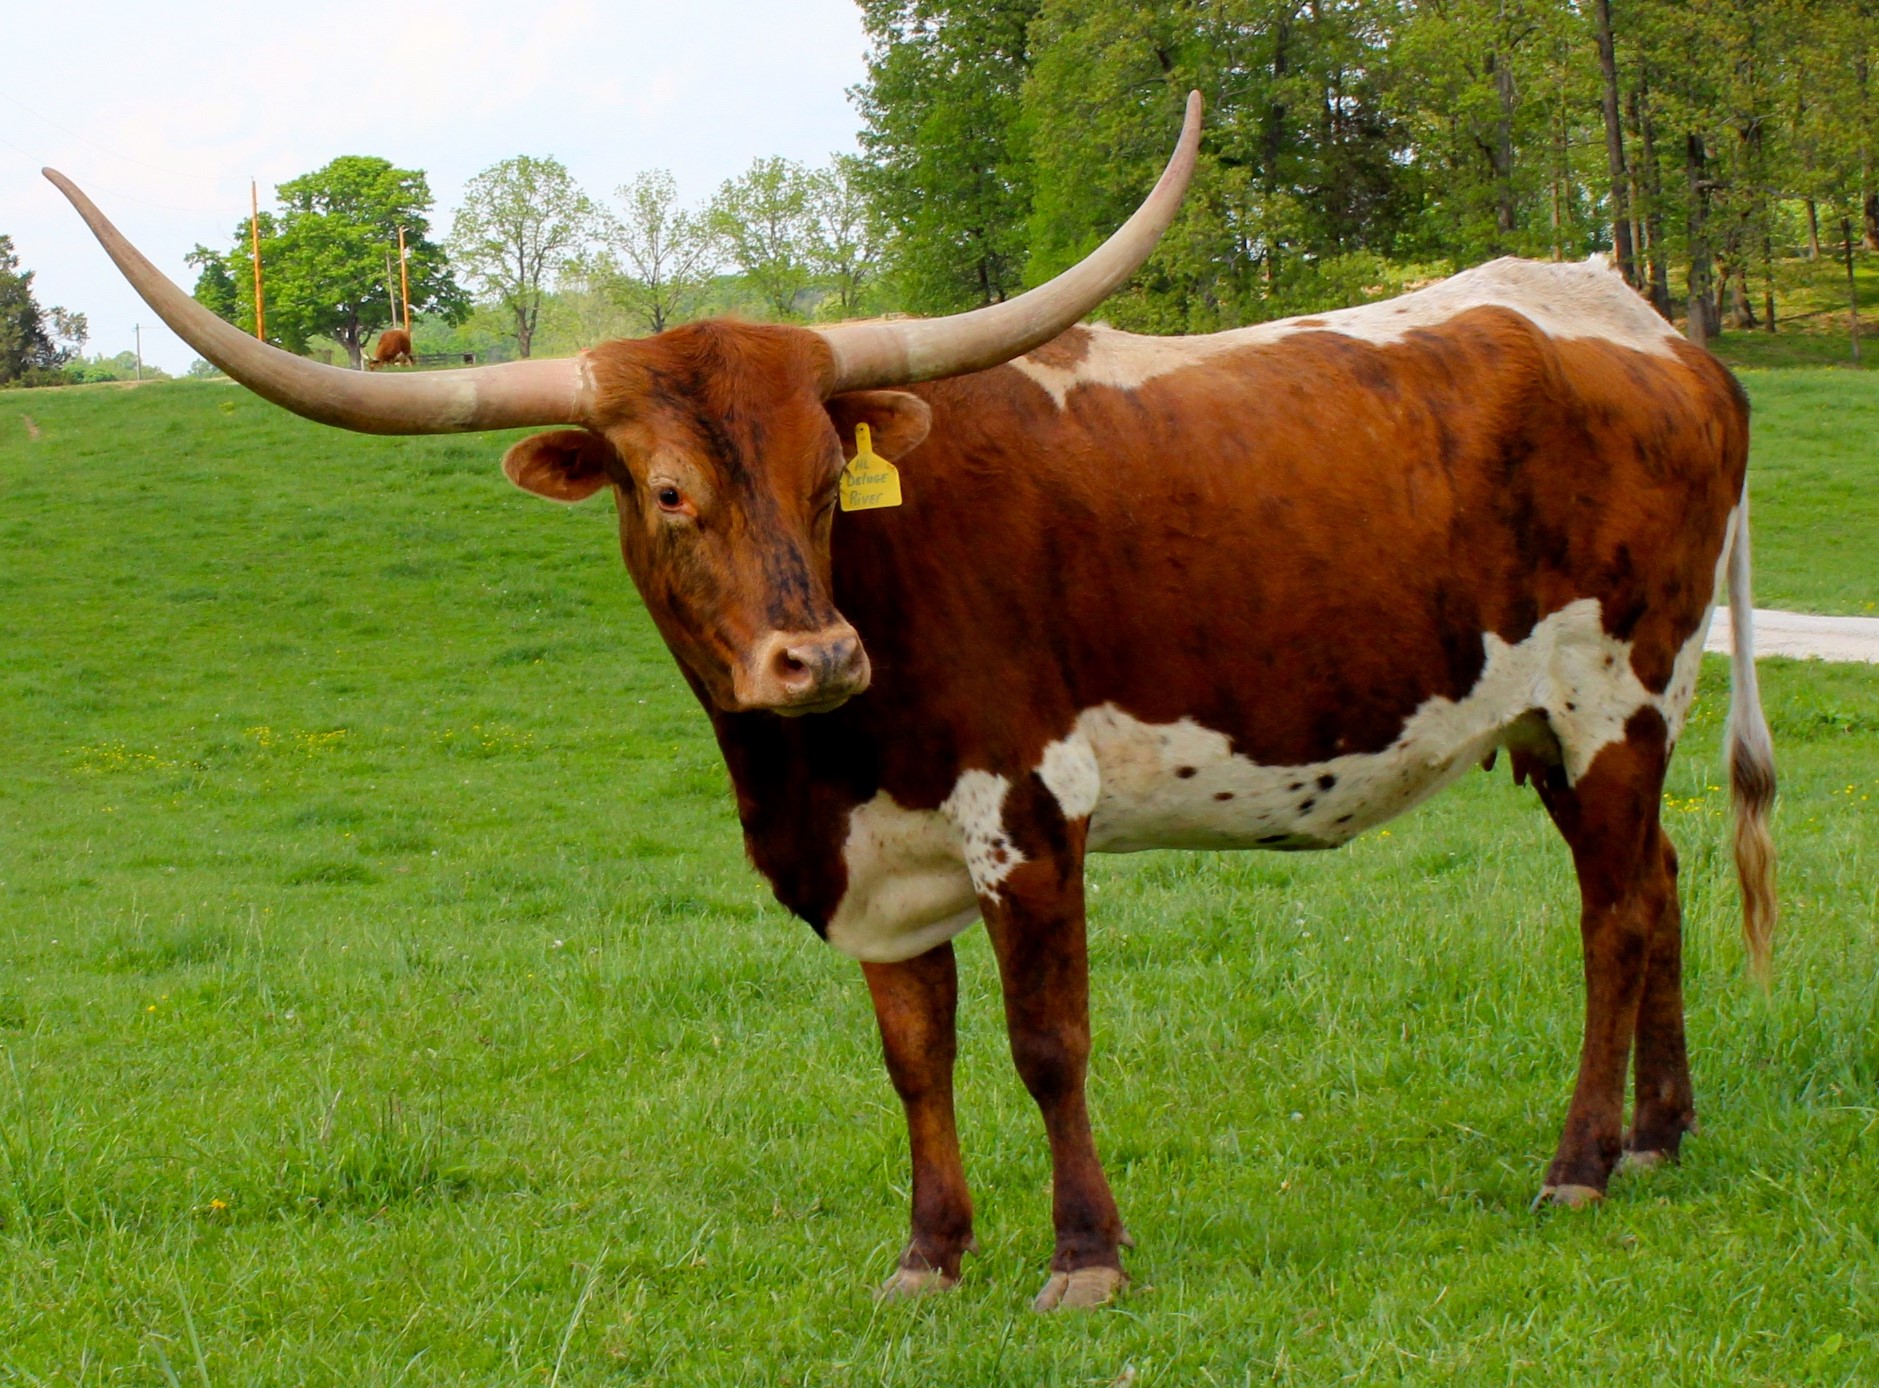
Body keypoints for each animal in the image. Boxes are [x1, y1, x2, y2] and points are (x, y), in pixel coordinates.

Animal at [47, 94, 1775, 1312]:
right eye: (665, 492)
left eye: (830, 476)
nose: (813, 661)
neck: (818, 764)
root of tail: (1647, 325)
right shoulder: (875, 859)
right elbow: (914, 1056)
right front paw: (928, 1255)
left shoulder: (1027, 817)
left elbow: (1044, 1043)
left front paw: (1082, 1259)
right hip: (1558, 724)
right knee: (1660, 883)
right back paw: (1660, 1131)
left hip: (1613, 691)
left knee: (1613, 913)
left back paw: (1576, 1162)